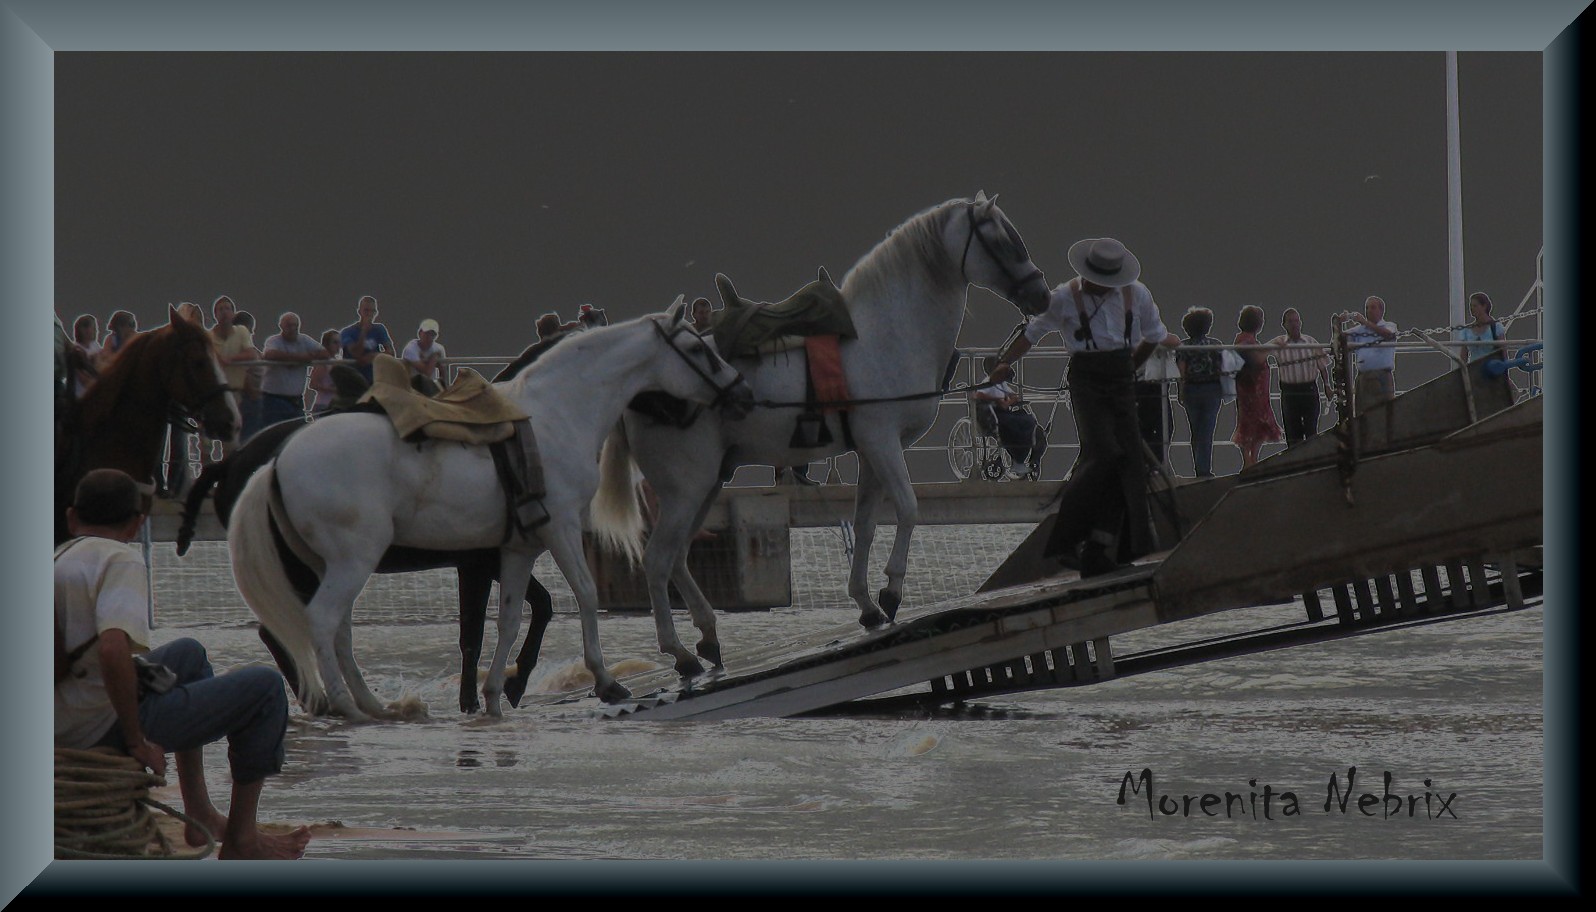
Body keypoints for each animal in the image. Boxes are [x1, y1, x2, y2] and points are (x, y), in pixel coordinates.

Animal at [226, 306, 753, 721]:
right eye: (698, 349)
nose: (741, 392)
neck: (555, 413)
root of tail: (276, 460)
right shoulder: (560, 528)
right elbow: (582, 594)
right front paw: (605, 680)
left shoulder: (518, 548)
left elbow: (510, 620)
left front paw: (496, 694)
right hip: (352, 561)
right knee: (320, 622)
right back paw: (346, 706)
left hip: (328, 566)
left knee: (338, 632)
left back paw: (373, 705)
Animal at [593, 194, 1053, 677]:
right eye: (1002, 240)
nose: (1041, 295)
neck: (887, 334)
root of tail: (639, 390)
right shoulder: (883, 441)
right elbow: (909, 509)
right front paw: (891, 591)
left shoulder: (871, 453)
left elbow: (866, 525)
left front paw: (867, 605)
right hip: (686, 489)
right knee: (658, 559)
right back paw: (680, 653)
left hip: (705, 486)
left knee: (678, 558)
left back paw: (708, 638)